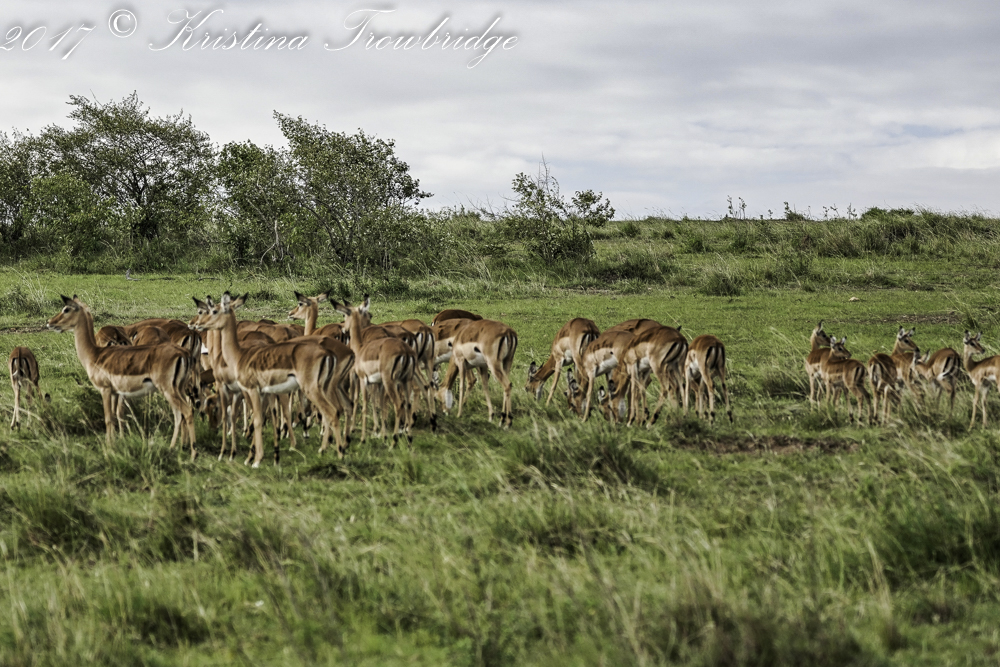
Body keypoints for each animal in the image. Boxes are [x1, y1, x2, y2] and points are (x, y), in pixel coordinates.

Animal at [47, 296, 197, 457]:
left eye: (66, 309)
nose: (50, 322)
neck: (94, 354)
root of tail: (184, 353)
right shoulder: (115, 392)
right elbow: (114, 416)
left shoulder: (105, 390)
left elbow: (108, 418)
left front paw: (109, 449)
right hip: (179, 389)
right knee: (180, 414)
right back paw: (176, 447)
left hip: (168, 390)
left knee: (186, 412)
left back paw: (193, 454)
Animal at [191, 292, 353, 466]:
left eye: (209, 311)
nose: (196, 324)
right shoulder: (261, 391)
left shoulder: (242, 389)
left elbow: (251, 415)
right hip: (331, 385)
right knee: (343, 406)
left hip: (315, 387)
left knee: (331, 410)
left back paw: (331, 449)